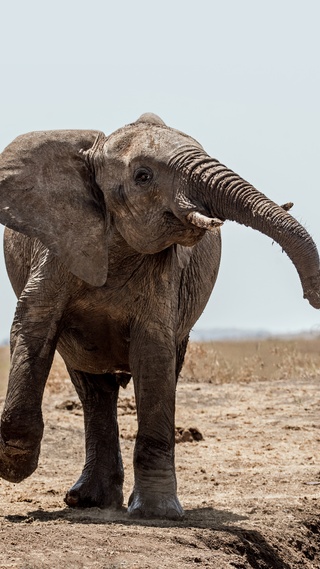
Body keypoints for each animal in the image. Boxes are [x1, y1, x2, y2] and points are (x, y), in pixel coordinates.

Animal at [0, 112, 320, 520]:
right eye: (143, 176)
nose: (314, 296)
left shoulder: (165, 273)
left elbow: (153, 354)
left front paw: (157, 514)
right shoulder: (56, 248)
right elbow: (33, 326)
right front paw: (14, 468)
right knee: (92, 389)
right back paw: (86, 501)